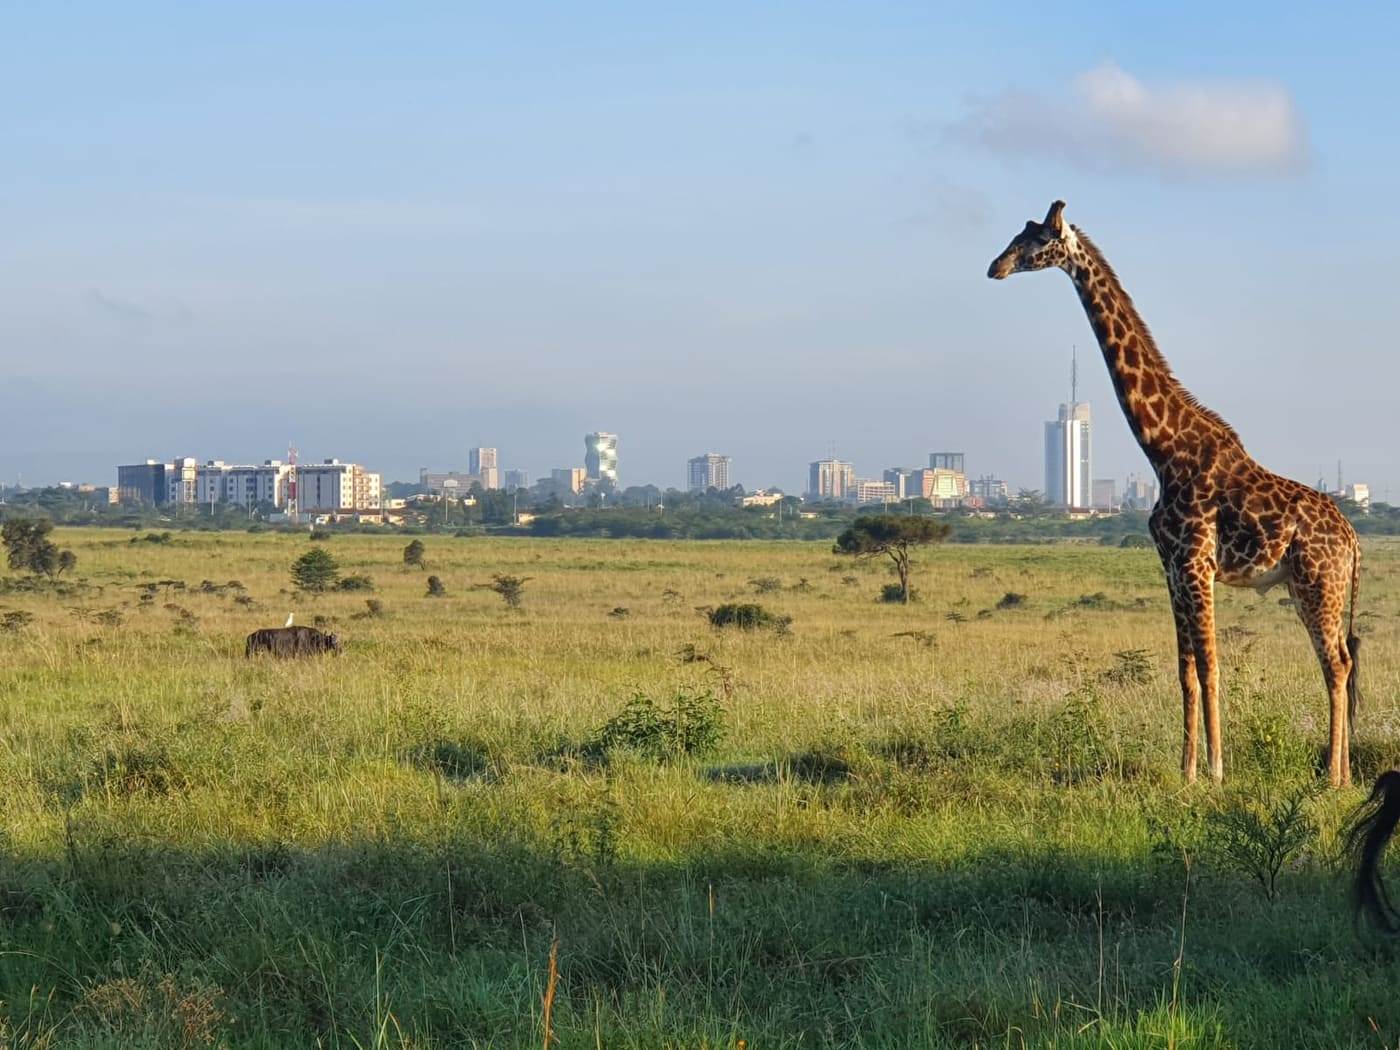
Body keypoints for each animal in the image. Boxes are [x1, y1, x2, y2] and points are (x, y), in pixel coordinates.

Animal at [985, 201, 1355, 784]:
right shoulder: (1172, 569)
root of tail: (1353, 539)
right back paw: (1340, 774)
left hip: (1319, 583)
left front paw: (1219, 771)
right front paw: (1187, 773)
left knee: (1336, 663)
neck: (1162, 450)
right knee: (1342, 660)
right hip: (1312, 587)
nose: (994, 267)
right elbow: (1185, 671)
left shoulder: (1196, 564)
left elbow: (1211, 665)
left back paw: (1335, 778)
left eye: (1037, 240)